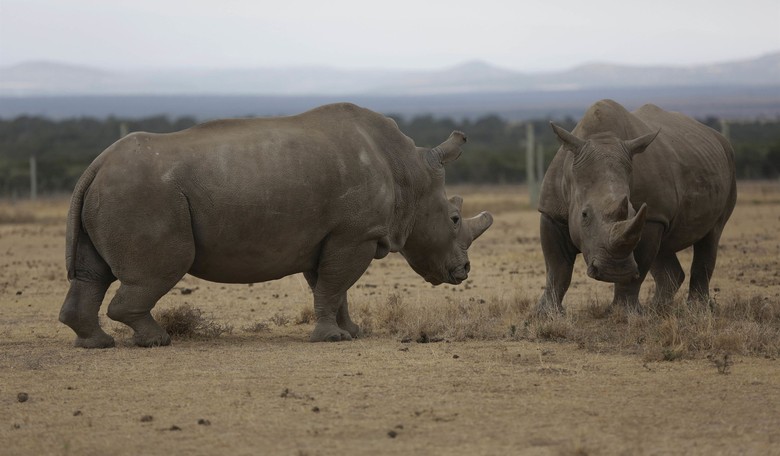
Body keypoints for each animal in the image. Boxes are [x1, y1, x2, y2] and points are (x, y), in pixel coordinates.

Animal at [59, 103, 493, 348]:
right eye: (454, 219)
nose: (464, 271)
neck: (411, 173)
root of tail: (96, 164)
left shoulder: (332, 236)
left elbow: (332, 288)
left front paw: (351, 333)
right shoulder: (355, 234)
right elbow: (334, 285)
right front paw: (331, 339)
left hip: (116, 191)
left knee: (92, 274)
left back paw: (95, 344)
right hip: (142, 195)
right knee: (163, 267)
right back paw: (157, 341)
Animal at [537, 99, 736, 313]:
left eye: (633, 211)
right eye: (584, 215)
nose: (613, 272)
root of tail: (718, 137)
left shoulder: (652, 216)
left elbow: (640, 264)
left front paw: (623, 312)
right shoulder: (551, 212)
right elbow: (557, 267)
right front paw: (547, 313)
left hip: (728, 166)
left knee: (712, 234)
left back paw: (695, 310)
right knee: (665, 249)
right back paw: (658, 309)